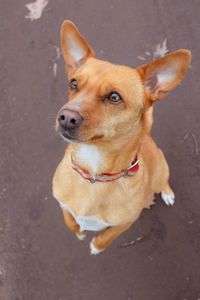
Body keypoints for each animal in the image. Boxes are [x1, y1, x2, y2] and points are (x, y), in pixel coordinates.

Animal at [52, 20, 191, 255]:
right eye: (73, 84)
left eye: (114, 97)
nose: (66, 118)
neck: (94, 173)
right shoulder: (62, 204)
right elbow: (69, 220)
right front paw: (79, 232)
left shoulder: (125, 223)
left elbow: (107, 236)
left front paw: (96, 247)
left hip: (161, 170)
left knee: (163, 182)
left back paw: (167, 193)